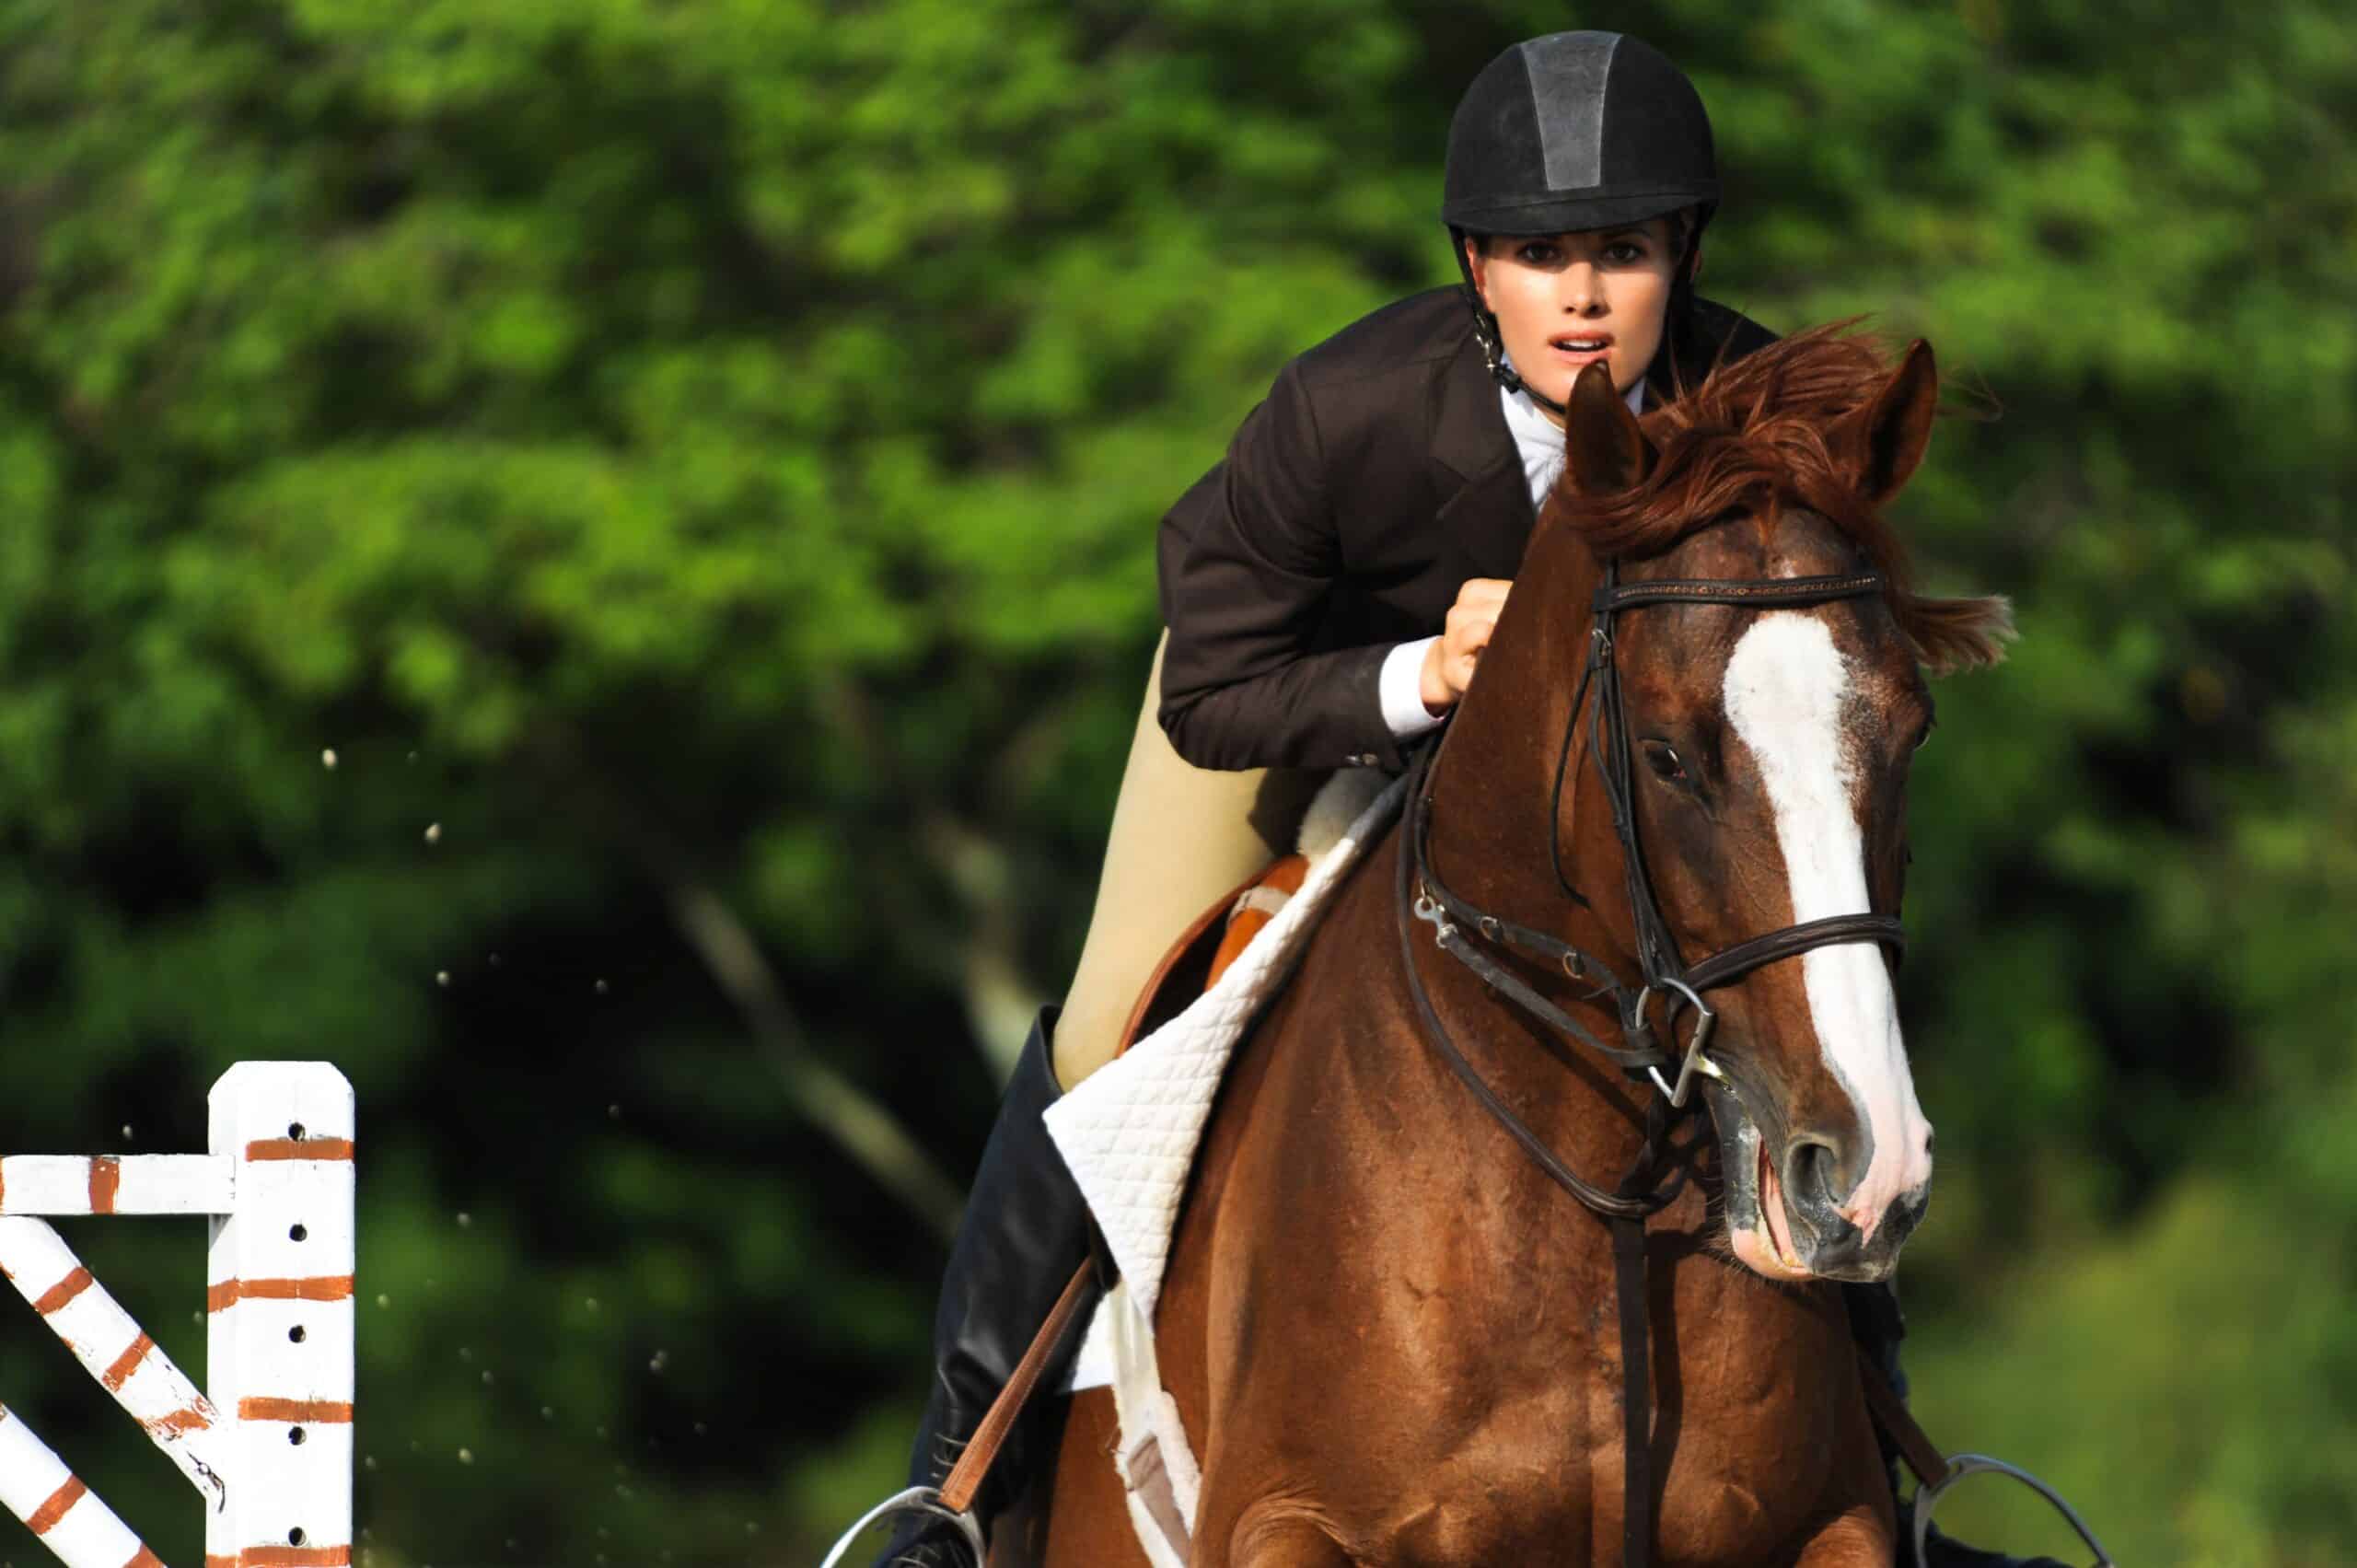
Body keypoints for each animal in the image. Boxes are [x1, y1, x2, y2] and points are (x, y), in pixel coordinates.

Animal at [1018, 323, 2014, 1568]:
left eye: (1910, 731)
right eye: (1665, 755)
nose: (1867, 1174)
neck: (1593, 1207)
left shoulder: (1832, 1521)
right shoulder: (1282, 1518)